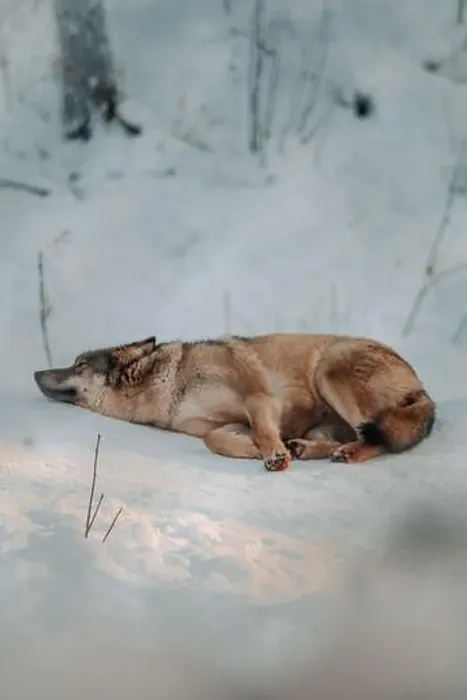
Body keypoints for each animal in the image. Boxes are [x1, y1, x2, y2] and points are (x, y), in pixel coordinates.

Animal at [33, 333, 435, 472]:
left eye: (79, 364)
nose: (36, 372)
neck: (169, 385)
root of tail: (424, 391)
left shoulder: (258, 397)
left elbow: (262, 431)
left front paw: (272, 455)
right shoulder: (221, 425)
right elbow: (218, 442)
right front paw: (264, 452)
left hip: (330, 370)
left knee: (378, 438)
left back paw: (345, 453)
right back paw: (304, 448)